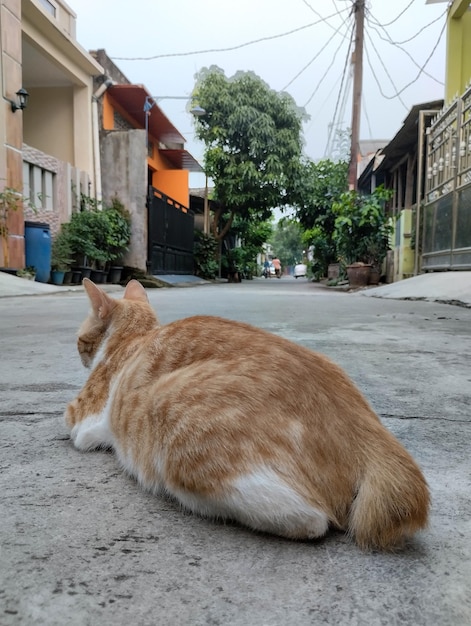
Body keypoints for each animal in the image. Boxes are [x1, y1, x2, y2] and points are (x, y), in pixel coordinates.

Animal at [64, 278, 430, 544]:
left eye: (80, 341)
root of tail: (370, 432)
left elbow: (75, 427)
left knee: (312, 521)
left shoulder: (82, 414)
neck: (134, 337)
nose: (80, 356)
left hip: (176, 428)